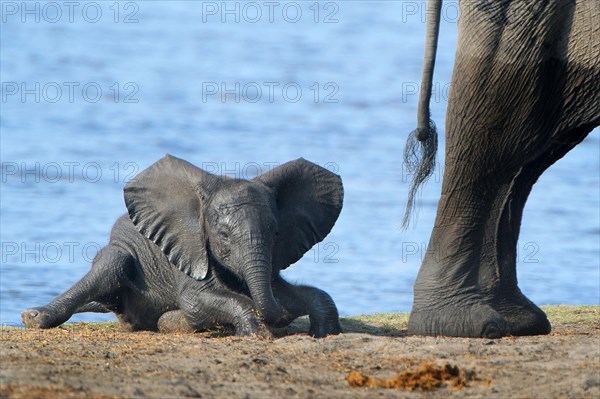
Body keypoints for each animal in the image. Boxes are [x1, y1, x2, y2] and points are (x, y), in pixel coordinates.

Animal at [22, 156, 342, 338]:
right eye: (224, 235)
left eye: (276, 233)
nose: (281, 318)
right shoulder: (188, 251)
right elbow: (194, 302)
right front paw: (254, 333)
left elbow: (300, 293)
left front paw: (325, 332)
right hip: (120, 249)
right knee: (111, 265)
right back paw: (34, 318)